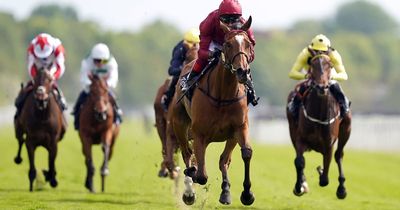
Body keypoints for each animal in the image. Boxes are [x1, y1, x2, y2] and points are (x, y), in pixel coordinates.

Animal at [153, 43, 198, 179]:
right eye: (187, 57)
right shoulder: (171, 135)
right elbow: (169, 160)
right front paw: (174, 171)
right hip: (160, 125)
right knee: (164, 150)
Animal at [170, 17, 255, 206]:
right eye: (228, 44)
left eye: (248, 44)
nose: (242, 71)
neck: (223, 95)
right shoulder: (199, 133)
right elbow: (201, 175)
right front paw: (193, 176)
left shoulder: (239, 128)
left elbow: (244, 153)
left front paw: (246, 194)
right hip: (180, 124)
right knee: (188, 155)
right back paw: (189, 191)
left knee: (223, 160)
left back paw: (225, 191)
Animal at [286, 52, 352, 199]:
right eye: (312, 64)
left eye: (331, 65)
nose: (322, 87)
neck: (319, 114)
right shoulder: (300, 138)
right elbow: (299, 161)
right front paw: (300, 186)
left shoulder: (329, 143)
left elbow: (325, 178)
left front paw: (321, 171)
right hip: (292, 128)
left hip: (346, 128)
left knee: (339, 155)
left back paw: (342, 188)